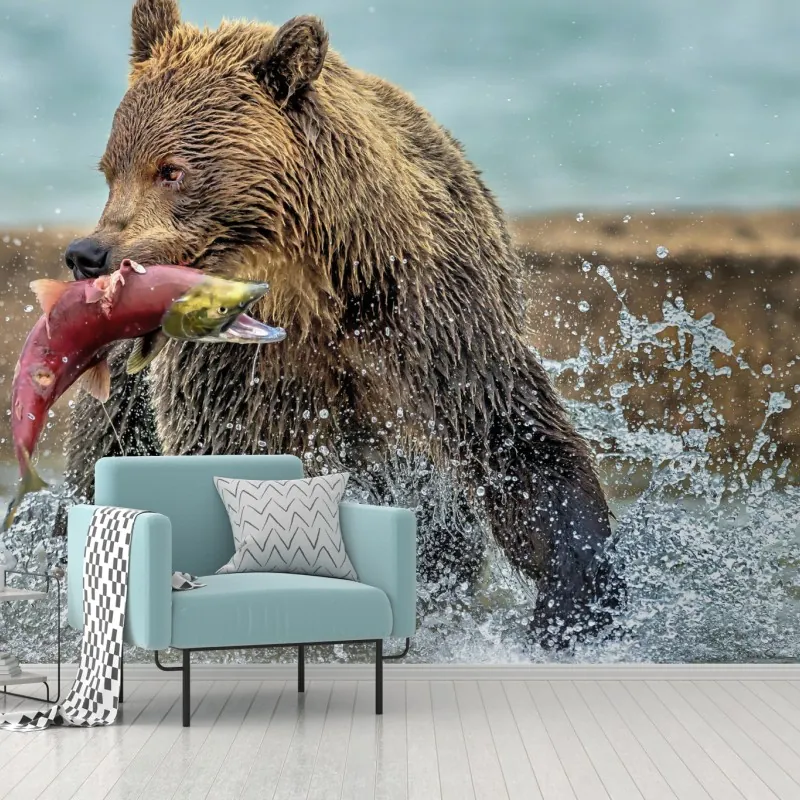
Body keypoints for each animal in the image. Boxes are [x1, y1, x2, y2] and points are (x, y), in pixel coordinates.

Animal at [59, 0, 623, 648]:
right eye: (110, 169)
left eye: (171, 169)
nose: (87, 254)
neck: (312, 290)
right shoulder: (234, 371)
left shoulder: (431, 322)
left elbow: (514, 438)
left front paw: (575, 602)